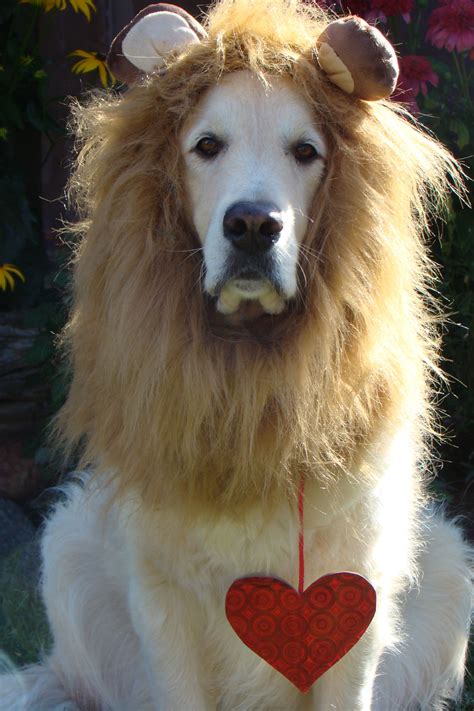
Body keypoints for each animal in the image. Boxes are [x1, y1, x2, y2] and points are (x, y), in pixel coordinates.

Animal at [1, 2, 472, 708]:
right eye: (206, 147)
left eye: (306, 152)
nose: (253, 225)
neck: (250, 372)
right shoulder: (163, 598)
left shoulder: (356, 587)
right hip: (66, 547)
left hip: (448, 565)